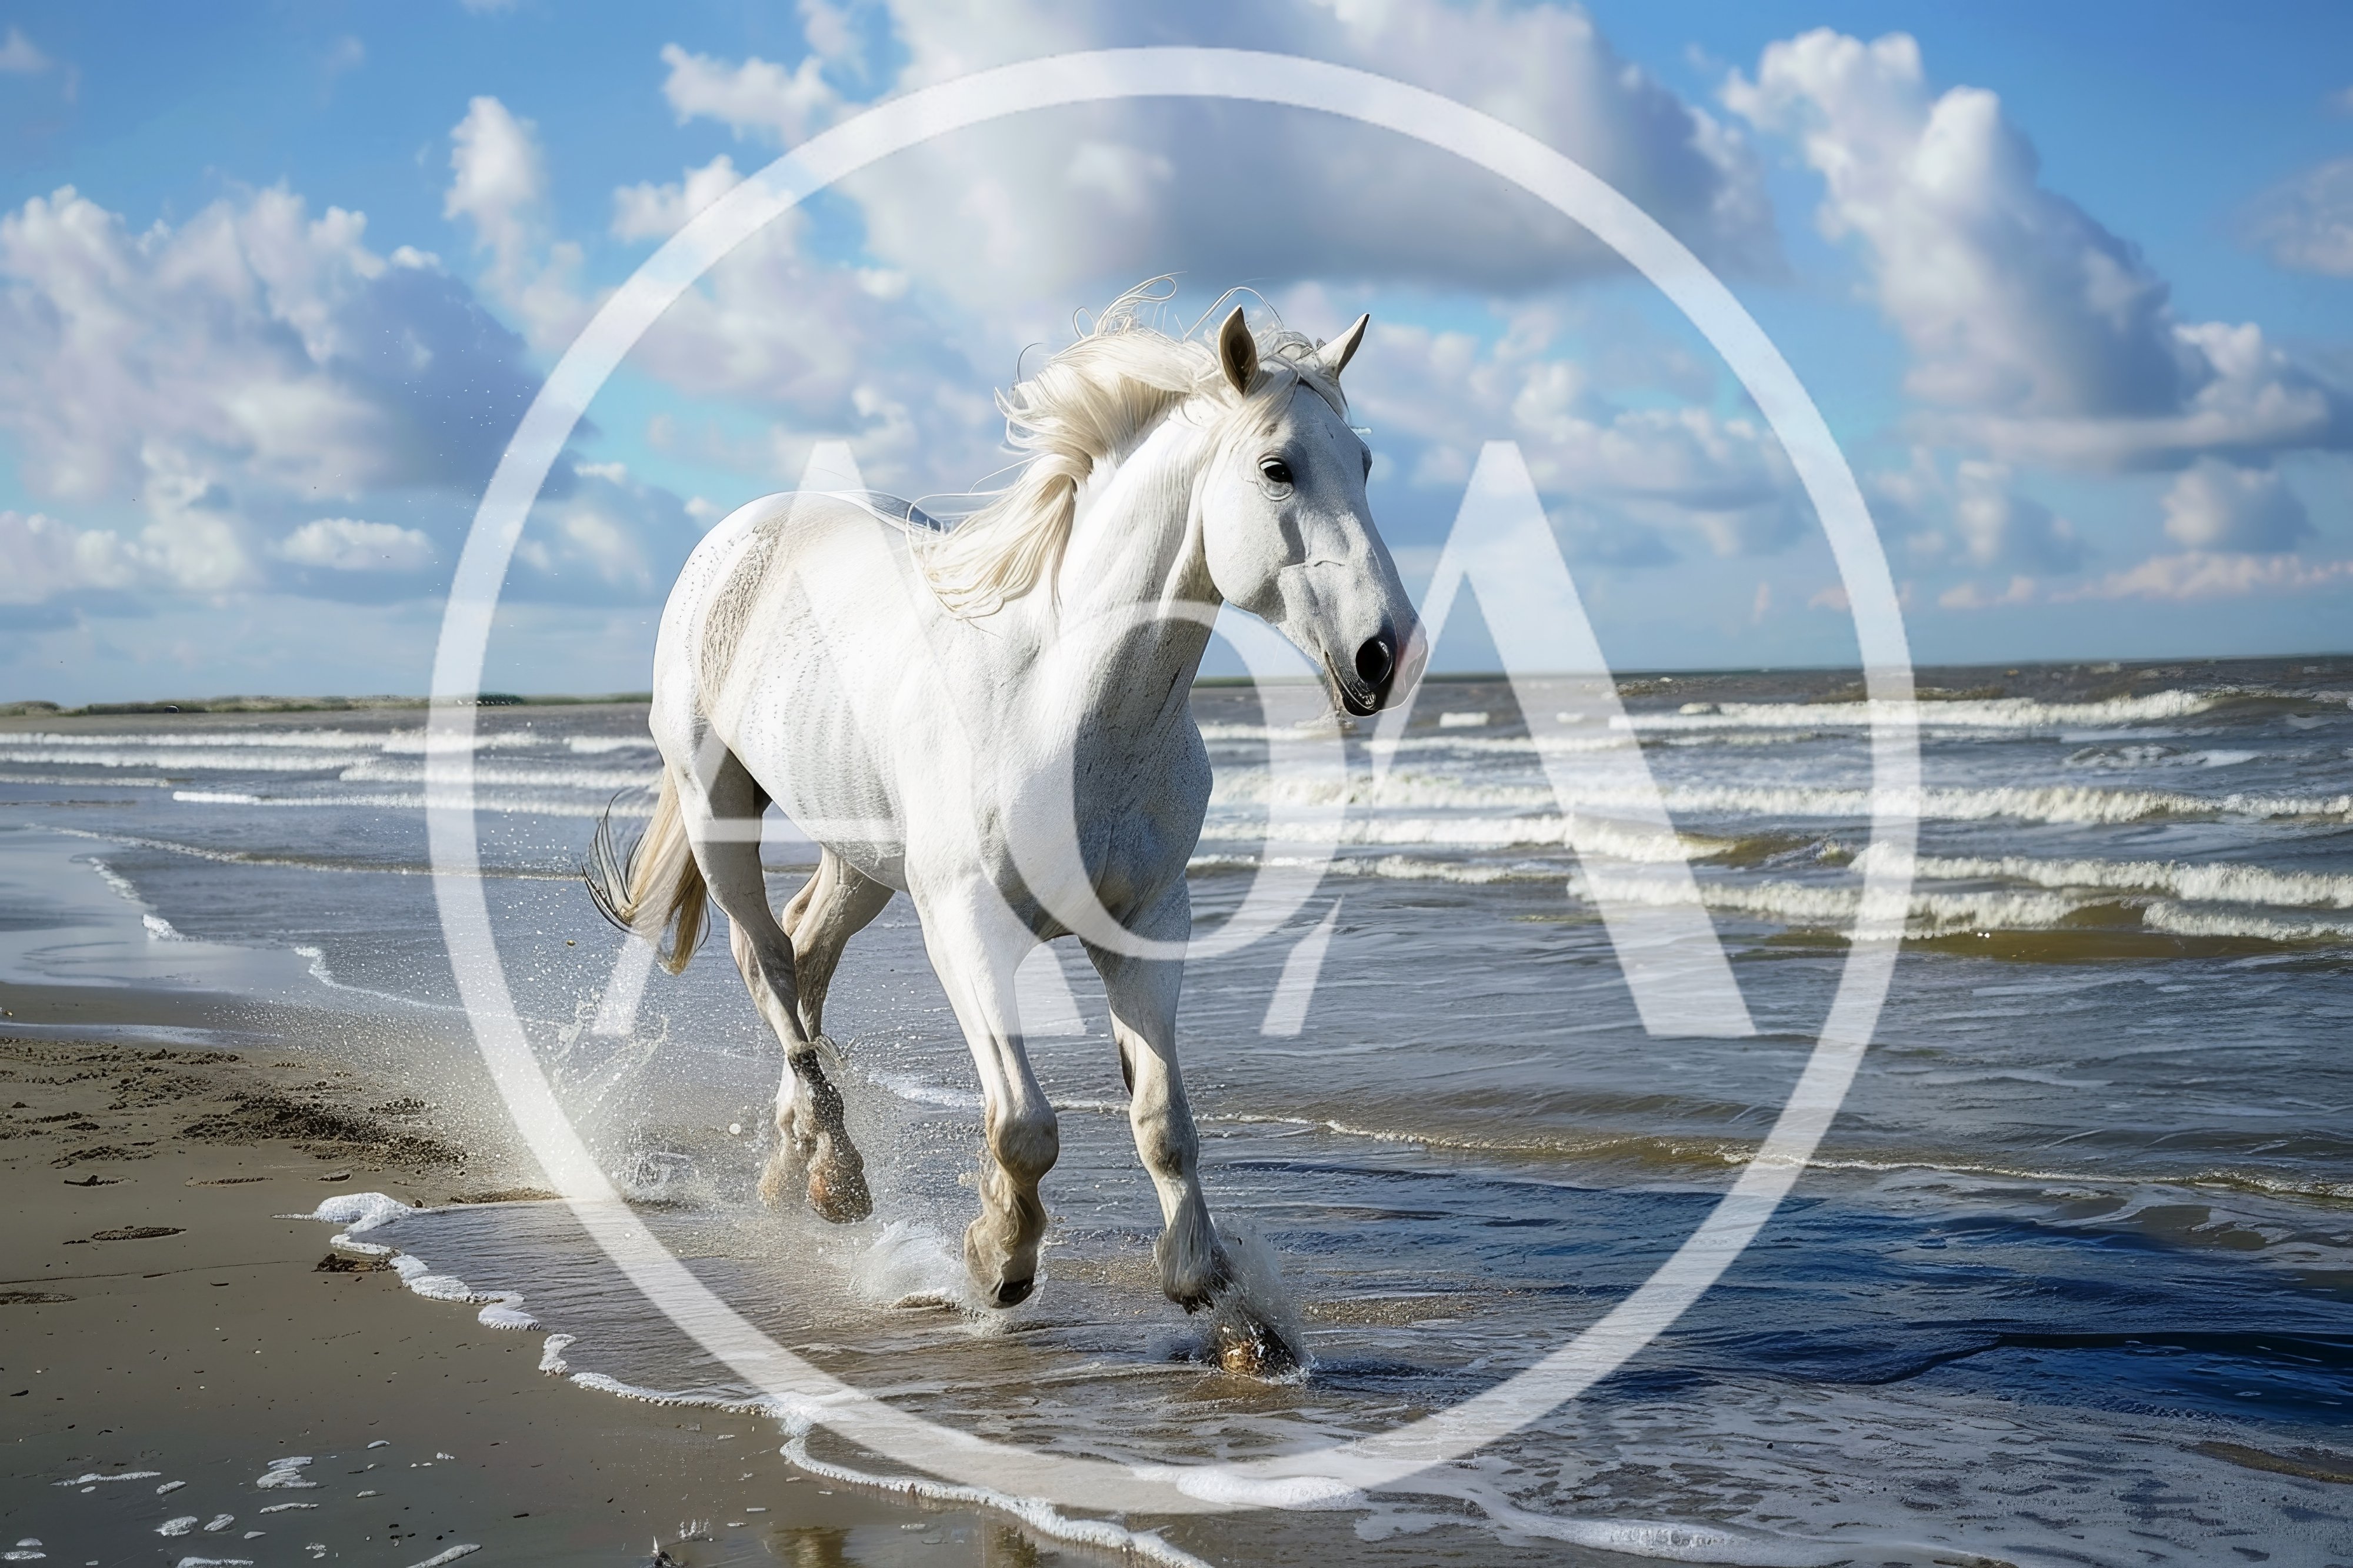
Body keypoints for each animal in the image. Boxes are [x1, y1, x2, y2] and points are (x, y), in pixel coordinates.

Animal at [587, 287, 1422, 1371]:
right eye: (1277, 466)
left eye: (1361, 461)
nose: (1384, 652)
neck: (1064, 707)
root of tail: (739, 532)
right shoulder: (968, 927)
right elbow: (1025, 1124)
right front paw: (998, 1260)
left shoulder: (1148, 928)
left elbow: (1163, 1122)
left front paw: (1225, 1305)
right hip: (718, 807)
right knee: (764, 960)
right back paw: (839, 1178)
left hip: (863, 855)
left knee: (806, 952)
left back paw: (792, 1170)